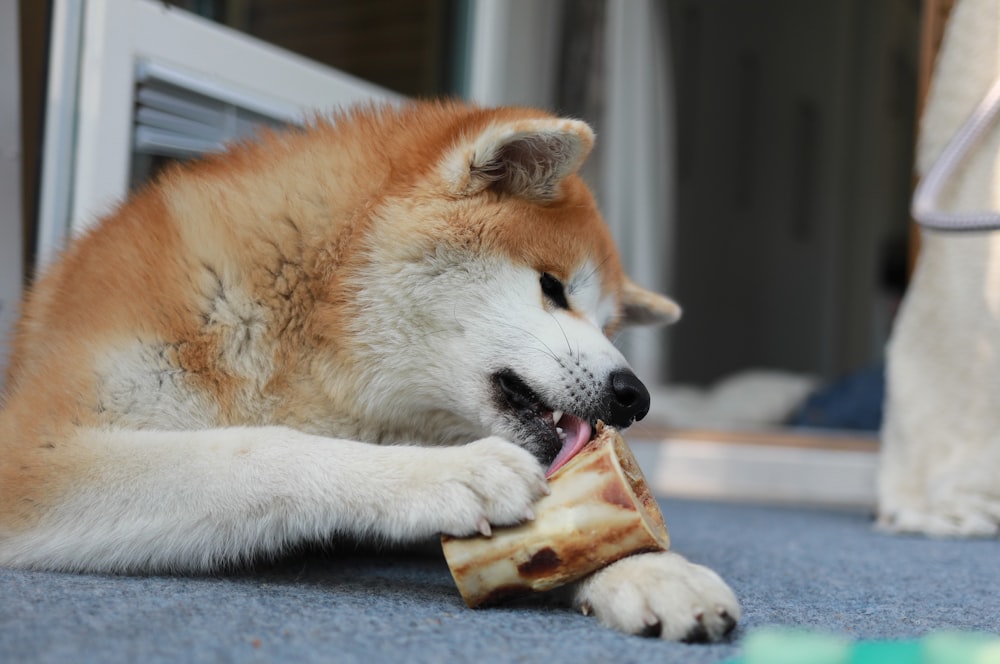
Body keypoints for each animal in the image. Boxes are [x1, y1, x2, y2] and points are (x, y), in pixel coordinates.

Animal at [0, 101, 736, 640]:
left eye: (610, 327)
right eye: (552, 288)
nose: (634, 395)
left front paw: (652, 569)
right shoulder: (34, 456)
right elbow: (255, 452)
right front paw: (449, 471)